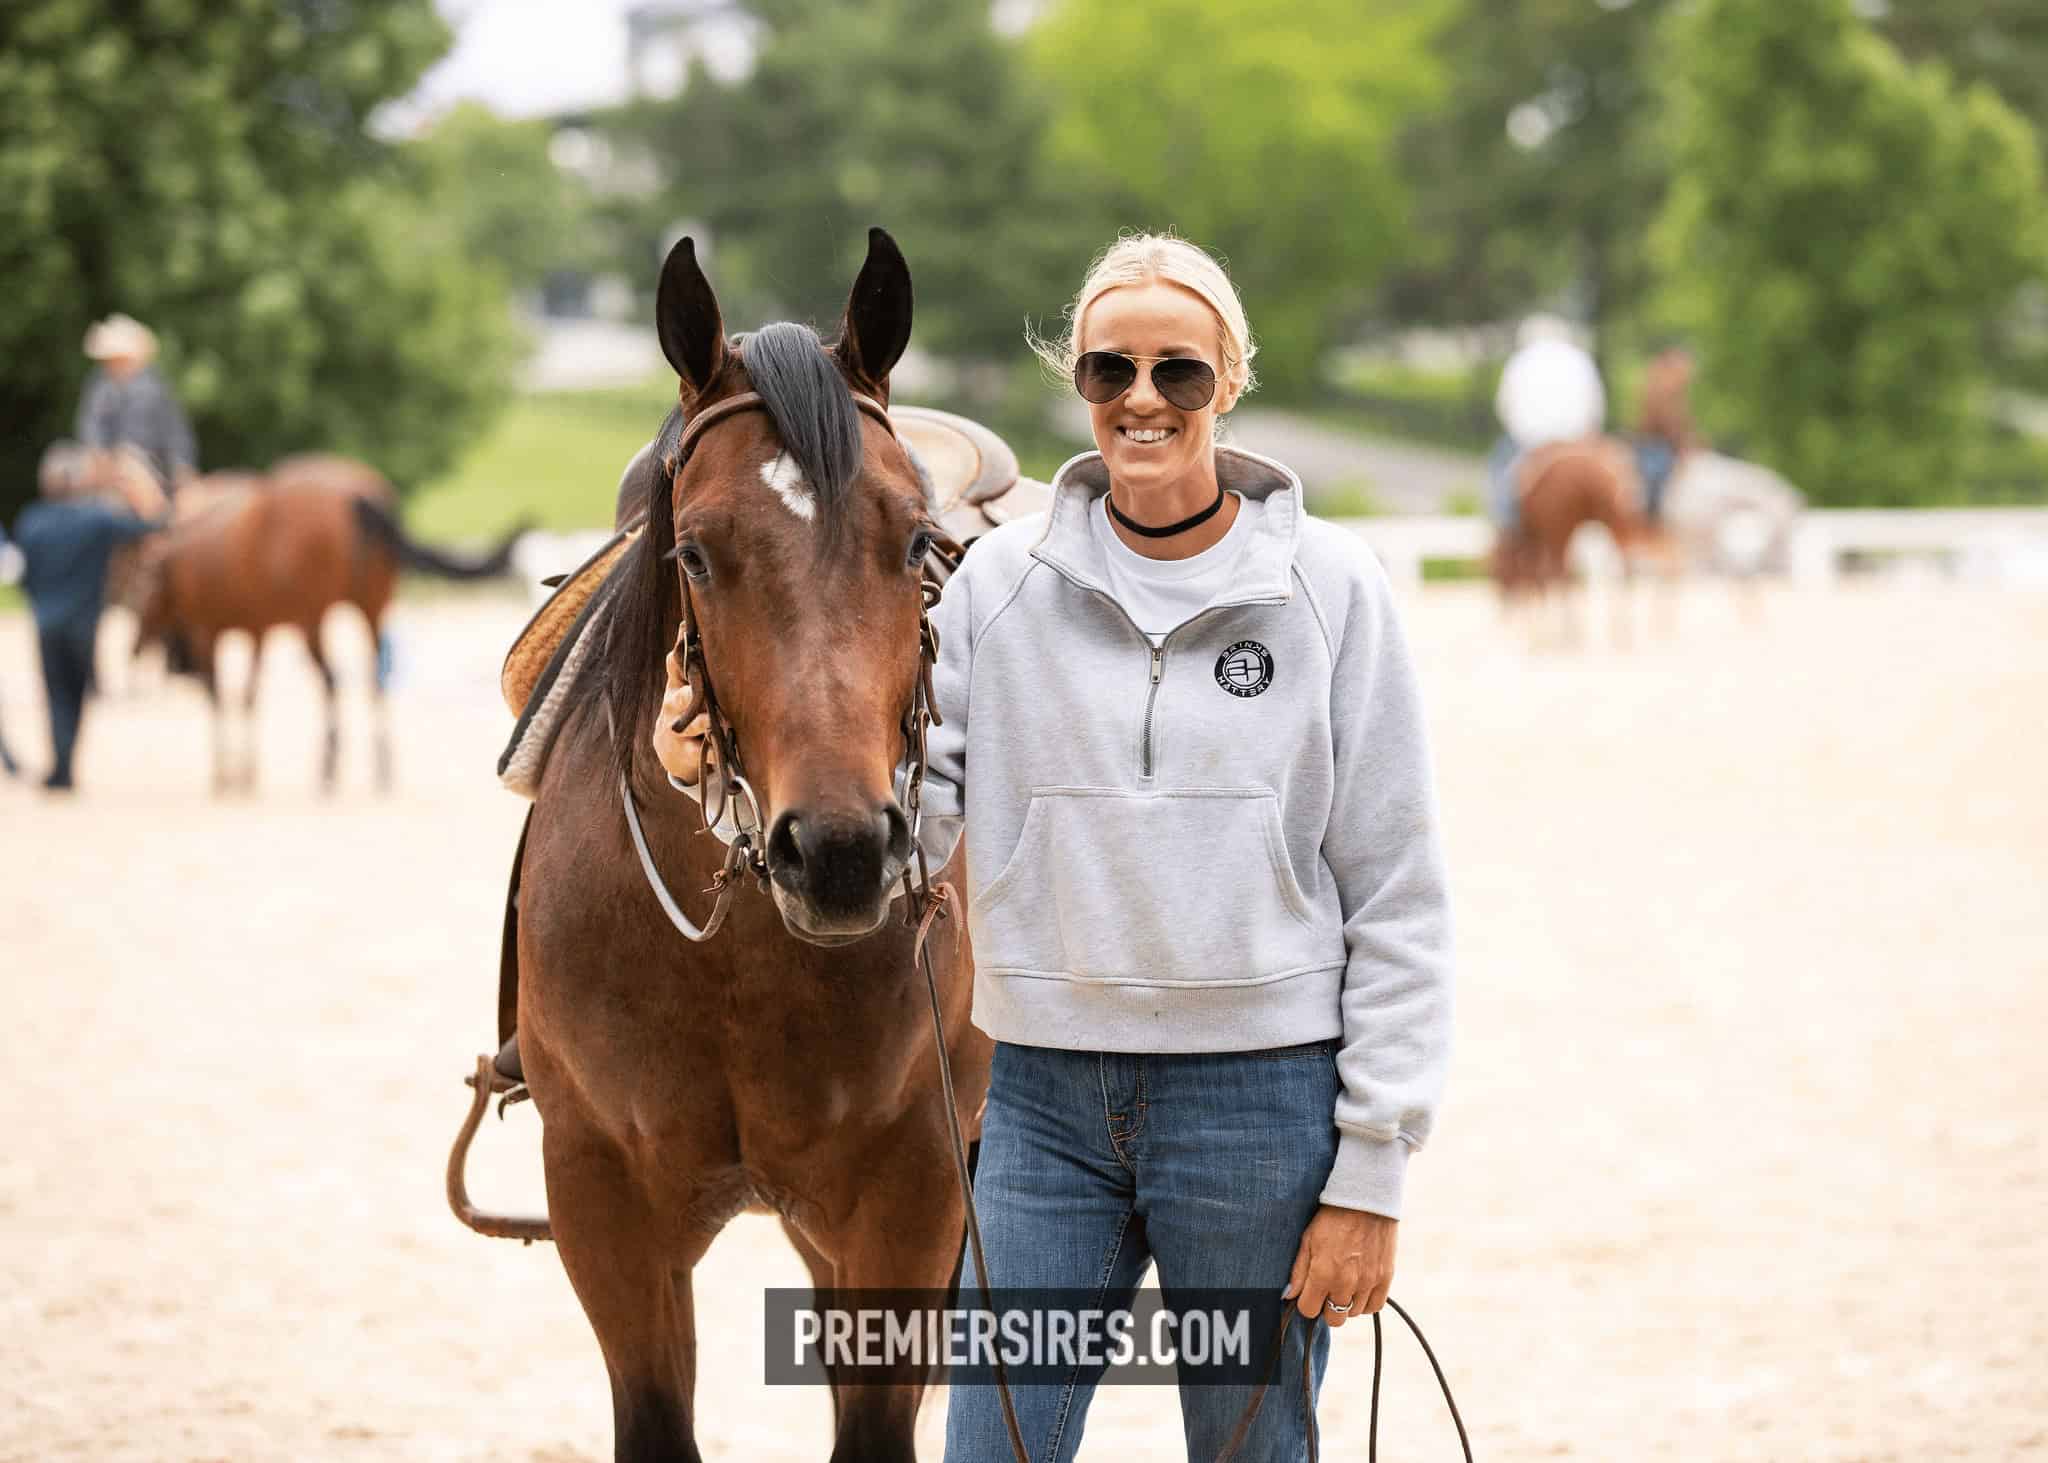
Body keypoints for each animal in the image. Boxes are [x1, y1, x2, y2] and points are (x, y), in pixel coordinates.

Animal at [133, 453, 523, 793]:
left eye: (145, 598)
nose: (136, 650)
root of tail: (356, 496)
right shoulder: (256, 632)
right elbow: (248, 696)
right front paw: (244, 772)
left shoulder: (210, 632)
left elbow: (222, 697)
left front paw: (227, 774)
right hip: (371, 606)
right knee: (374, 678)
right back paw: (379, 765)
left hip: (312, 620)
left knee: (332, 680)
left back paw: (328, 766)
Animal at [1490, 436, 1654, 647]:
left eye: (1497, 573)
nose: (1504, 610)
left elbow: (1540, 577)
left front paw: (1539, 634)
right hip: (1619, 520)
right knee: (1627, 567)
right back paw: (1621, 634)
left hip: (1561, 526)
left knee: (1558, 573)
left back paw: (1565, 634)